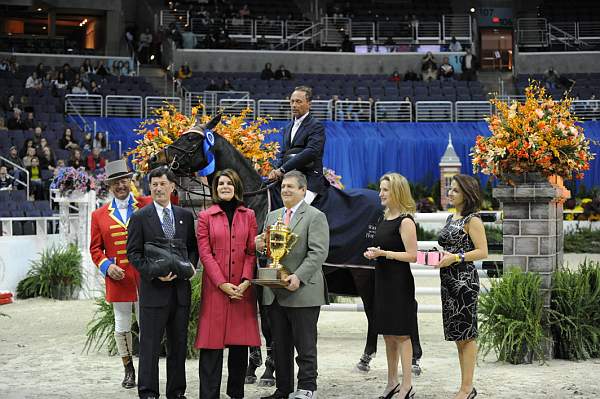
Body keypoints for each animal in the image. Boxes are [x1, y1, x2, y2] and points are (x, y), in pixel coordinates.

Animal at [152, 115, 382, 372]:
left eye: (192, 138)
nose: (155, 160)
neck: (253, 200)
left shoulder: (264, 275)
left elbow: (268, 324)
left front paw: (269, 368)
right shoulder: (252, 276)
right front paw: (253, 367)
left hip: (365, 273)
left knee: (374, 312)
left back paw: (370, 358)